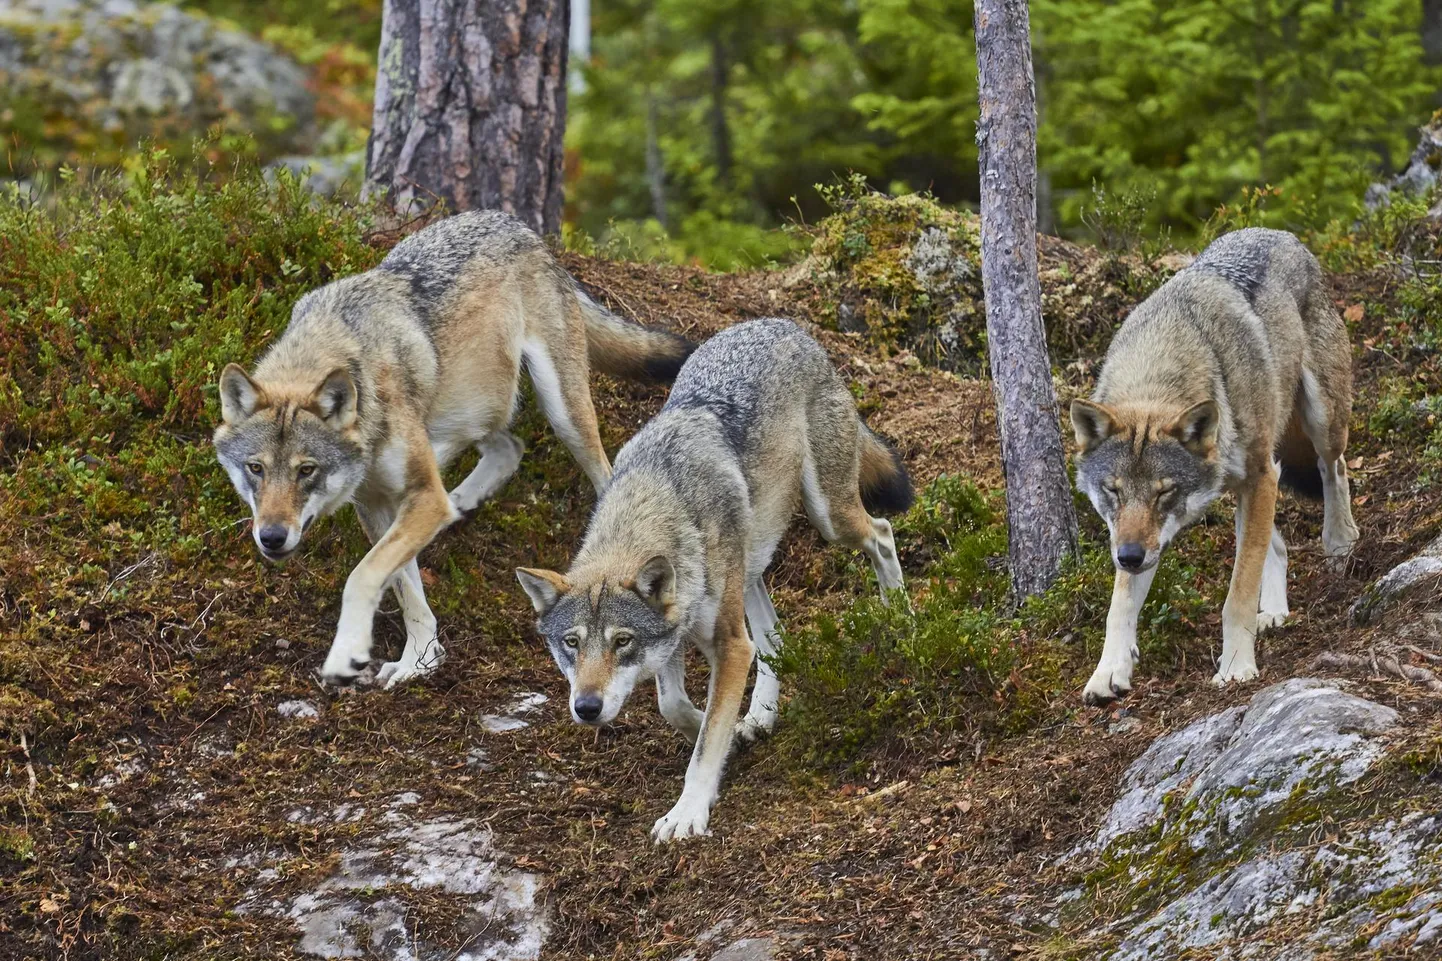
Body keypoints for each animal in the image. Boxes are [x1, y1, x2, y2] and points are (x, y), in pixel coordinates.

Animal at [210, 210, 697, 689]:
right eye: (255, 469)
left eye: (306, 470)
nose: (271, 537)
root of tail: (517, 225)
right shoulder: (379, 505)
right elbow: (406, 589)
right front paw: (419, 661)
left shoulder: (420, 498)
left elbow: (363, 575)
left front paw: (348, 655)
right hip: (471, 410)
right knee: (509, 447)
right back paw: (461, 502)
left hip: (562, 412)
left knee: (601, 474)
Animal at [513, 316, 905, 836]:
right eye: (571, 644)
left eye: (622, 641)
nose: (587, 708)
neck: (656, 500)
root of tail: (783, 324)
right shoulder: (676, 637)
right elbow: (675, 707)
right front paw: (723, 732)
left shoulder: (728, 645)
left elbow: (703, 746)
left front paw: (687, 812)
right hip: (752, 561)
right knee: (773, 636)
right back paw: (760, 716)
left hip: (829, 519)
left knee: (882, 534)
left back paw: (902, 620)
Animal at [1072, 227, 1361, 701]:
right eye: (1113, 491)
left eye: (1164, 492)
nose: (1129, 557)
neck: (1161, 369)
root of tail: (1281, 233)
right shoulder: (1141, 537)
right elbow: (1120, 605)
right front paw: (1108, 671)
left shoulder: (1261, 476)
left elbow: (1237, 593)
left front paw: (1236, 665)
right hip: (1242, 486)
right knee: (1276, 544)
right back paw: (1275, 612)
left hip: (1318, 424)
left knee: (1333, 470)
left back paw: (1340, 544)